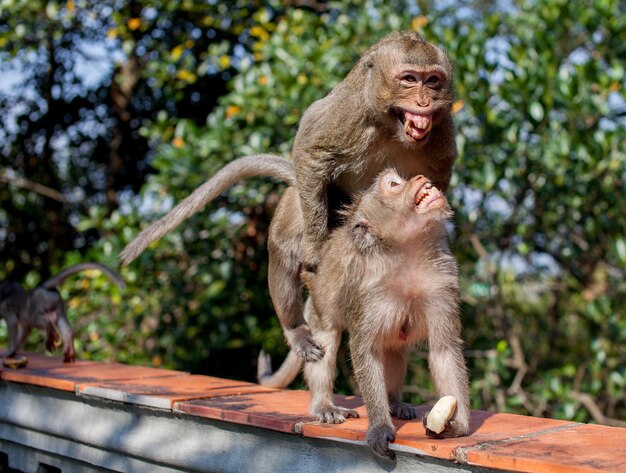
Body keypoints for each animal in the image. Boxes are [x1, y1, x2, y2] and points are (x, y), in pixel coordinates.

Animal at [119, 31, 456, 364]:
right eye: (410, 79)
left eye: (433, 80)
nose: (424, 100)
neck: (390, 128)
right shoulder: (349, 111)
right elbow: (311, 150)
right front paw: (317, 253)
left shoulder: (443, 133)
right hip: (304, 198)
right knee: (286, 242)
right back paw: (296, 328)